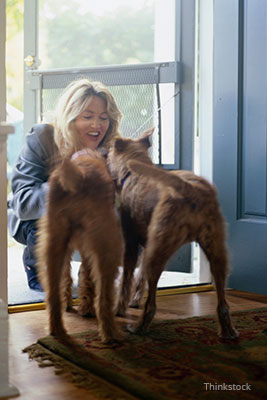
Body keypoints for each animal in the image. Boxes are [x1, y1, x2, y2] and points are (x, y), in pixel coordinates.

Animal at [36, 148, 124, 342]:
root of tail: (80, 175)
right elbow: (88, 279)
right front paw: (86, 308)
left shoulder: (73, 249)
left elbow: (71, 278)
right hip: (108, 246)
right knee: (104, 296)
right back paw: (110, 334)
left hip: (53, 246)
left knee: (53, 294)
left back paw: (57, 330)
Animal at [108, 130, 240, 340]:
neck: (132, 173)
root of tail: (191, 189)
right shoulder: (147, 244)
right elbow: (140, 278)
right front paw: (134, 300)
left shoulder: (131, 243)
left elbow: (126, 280)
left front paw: (119, 309)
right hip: (217, 252)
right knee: (223, 301)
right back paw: (228, 331)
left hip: (160, 250)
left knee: (151, 304)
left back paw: (139, 327)